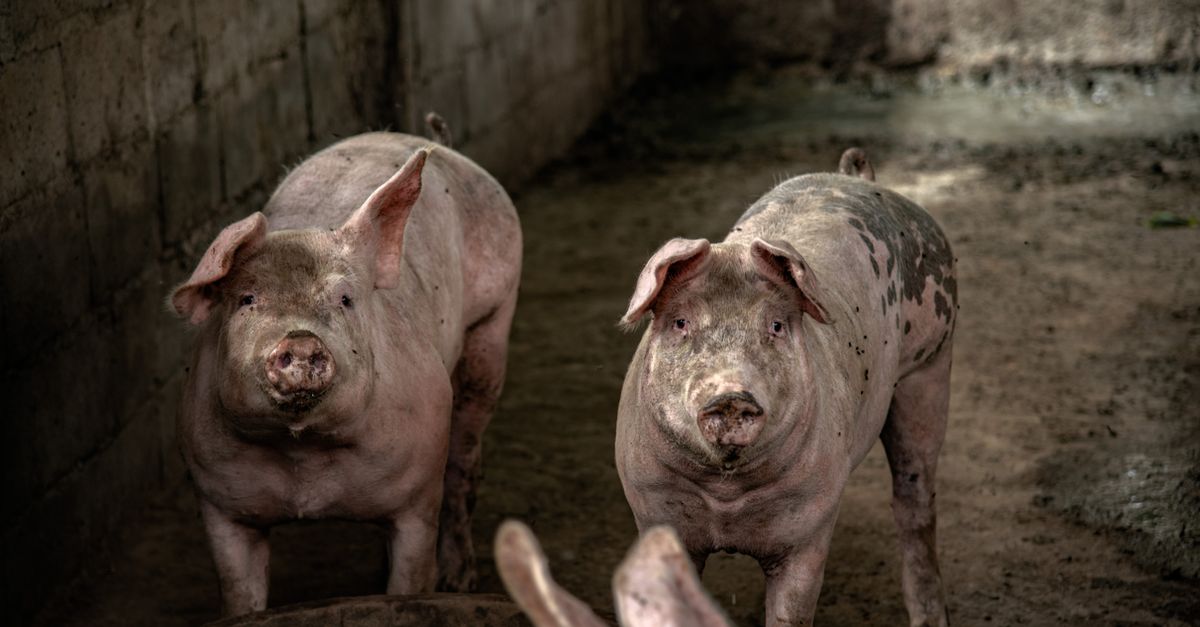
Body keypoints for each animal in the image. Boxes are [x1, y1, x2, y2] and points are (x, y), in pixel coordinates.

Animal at [169, 127, 521, 615]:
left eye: (345, 299)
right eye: (246, 300)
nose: (300, 340)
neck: (305, 461)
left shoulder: (418, 498)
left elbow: (411, 578)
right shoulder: (218, 500)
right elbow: (240, 592)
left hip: (491, 324)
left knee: (464, 463)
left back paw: (458, 581)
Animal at [615, 148, 956, 626]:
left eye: (776, 325)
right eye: (680, 322)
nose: (731, 394)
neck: (726, 496)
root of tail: (860, 179)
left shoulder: (810, 526)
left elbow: (792, 610)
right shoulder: (650, 504)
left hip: (930, 364)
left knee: (916, 498)